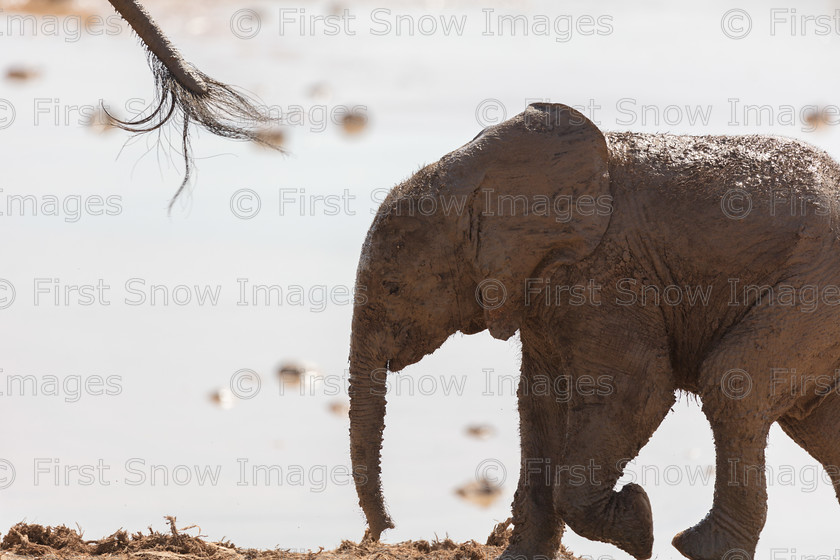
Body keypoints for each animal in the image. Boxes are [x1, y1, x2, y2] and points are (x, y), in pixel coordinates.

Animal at [344, 103, 840, 560]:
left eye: (392, 287)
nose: (381, 531)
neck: (479, 173)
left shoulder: (605, 278)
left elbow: (635, 391)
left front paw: (639, 522)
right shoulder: (543, 287)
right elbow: (540, 404)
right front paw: (523, 557)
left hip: (814, 288)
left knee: (735, 384)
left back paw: (699, 547)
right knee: (818, 424)